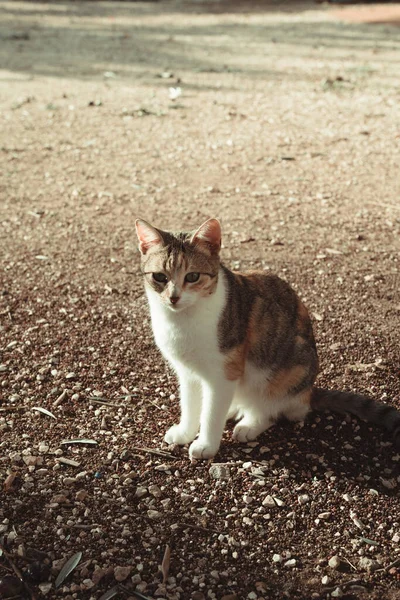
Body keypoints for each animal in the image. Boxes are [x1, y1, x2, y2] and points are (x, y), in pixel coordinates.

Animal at [134, 219, 400, 460]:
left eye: (192, 276)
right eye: (159, 277)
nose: (174, 298)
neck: (182, 321)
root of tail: (309, 392)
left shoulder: (224, 372)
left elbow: (211, 413)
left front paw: (206, 444)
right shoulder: (188, 372)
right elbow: (190, 405)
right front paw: (185, 432)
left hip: (283, 370)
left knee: (272, 409)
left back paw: (249, 424)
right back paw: (234, 409)